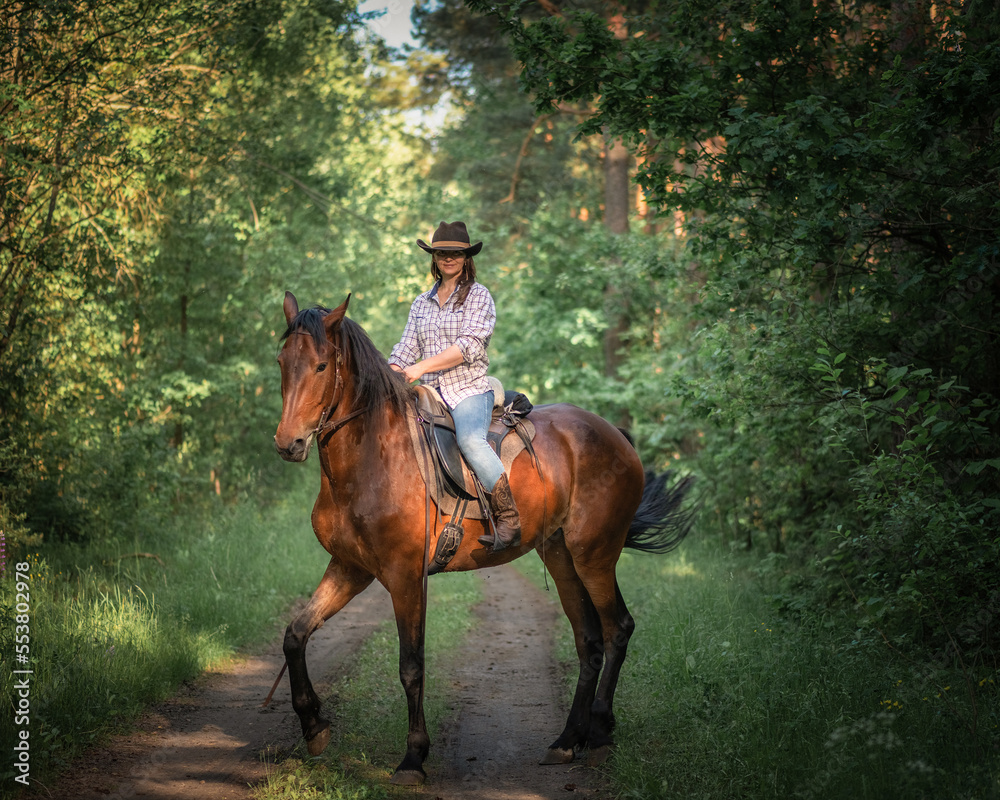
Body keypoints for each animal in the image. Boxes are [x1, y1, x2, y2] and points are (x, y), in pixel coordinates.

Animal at [273, 291, 693, 785]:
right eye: (282, 361)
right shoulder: (351, 568)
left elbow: (411, 666)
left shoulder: (404, 576)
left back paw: (602, 733)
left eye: (321, 366)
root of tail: (616, 436)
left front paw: (413, 758)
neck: (373, 457)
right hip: (560, 556)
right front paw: (313, 725)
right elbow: (296, 635)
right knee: (588, 641)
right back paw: (568, 740)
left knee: (616, 630)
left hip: (595, 554)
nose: (288, 443)